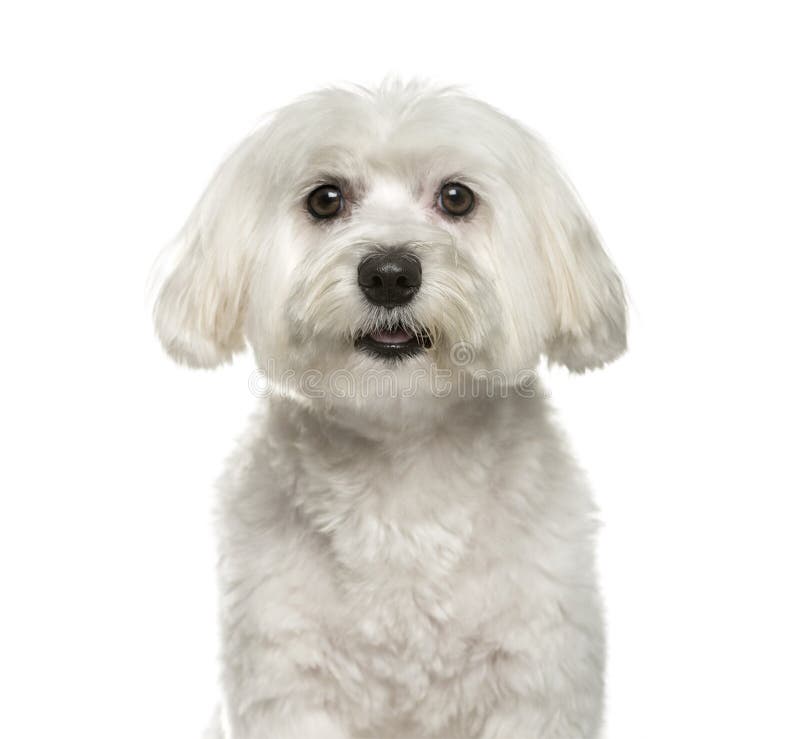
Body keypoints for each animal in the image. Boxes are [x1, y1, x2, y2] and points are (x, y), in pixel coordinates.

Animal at [152, 81, 624, 739]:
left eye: (456, 197)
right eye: (325, 199)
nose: (391, 273)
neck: (402, 473)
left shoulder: (537, 674)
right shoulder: (285, 675)